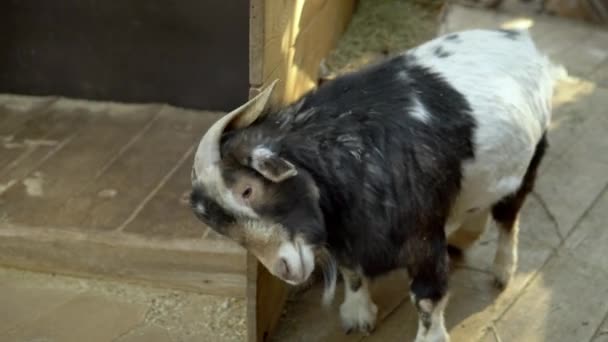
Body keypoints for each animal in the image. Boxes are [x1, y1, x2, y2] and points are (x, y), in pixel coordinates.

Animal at [191, 30, 564, 342]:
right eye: (221, 227)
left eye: (247, 190)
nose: (284, 269)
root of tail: (525, 42)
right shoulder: (348, 239)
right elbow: (352, 272)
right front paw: (358, 315)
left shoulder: (422, 235)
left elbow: (427, 296)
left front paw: (431, 338)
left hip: (531, 160)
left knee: (508, 218)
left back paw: (503, 270)